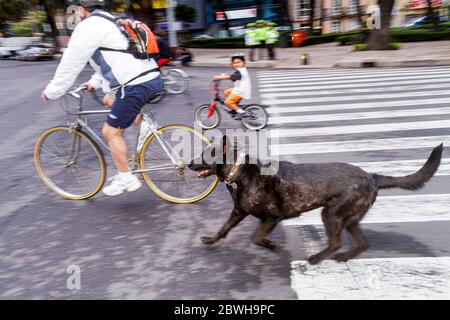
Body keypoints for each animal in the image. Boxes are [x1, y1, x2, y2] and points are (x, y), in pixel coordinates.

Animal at [189, 138, 442, 264]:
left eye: (204, 155)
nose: (188, 163)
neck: (239, 170)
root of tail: (371, 176)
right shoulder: (238, 212)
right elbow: (223, 229)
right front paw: (210, 240)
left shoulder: (272, 217)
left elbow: (257, 237)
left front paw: (271, 245)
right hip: (349, 219)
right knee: (361, 243)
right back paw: (344, 257)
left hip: (331, 214)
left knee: (336, 242)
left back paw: (317, 257)